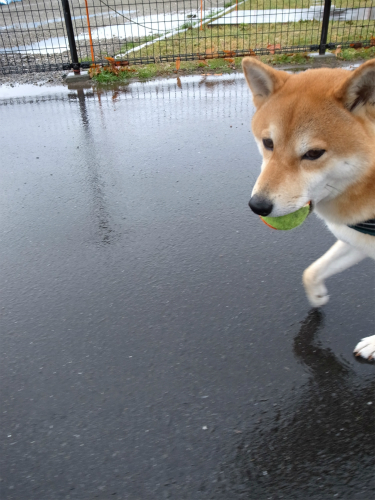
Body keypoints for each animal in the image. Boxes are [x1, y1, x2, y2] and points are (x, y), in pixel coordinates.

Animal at [244, 56, 375, 362]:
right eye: (268, 143)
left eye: (314, 154)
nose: (257, 206)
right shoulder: (357, 239)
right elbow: (311, 272)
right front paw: (317, 296)